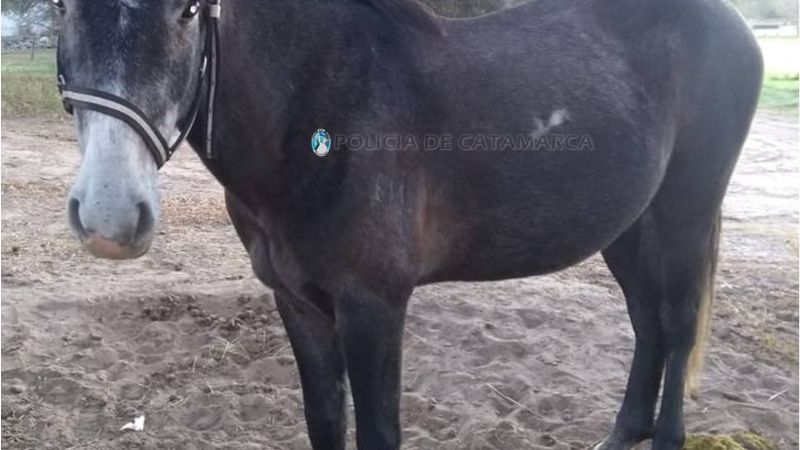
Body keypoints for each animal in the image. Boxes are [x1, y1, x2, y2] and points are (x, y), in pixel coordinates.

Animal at [55, 0, 763, 448]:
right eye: (62, 6)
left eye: (189, 11)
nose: (111, 212)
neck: (320, 111)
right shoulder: (297, 301)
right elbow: (325, 422)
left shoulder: (374, 305)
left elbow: (377, 431)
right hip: (629, 226)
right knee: (648, 322)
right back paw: (621, 434)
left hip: (685, 211)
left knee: (677, 324)